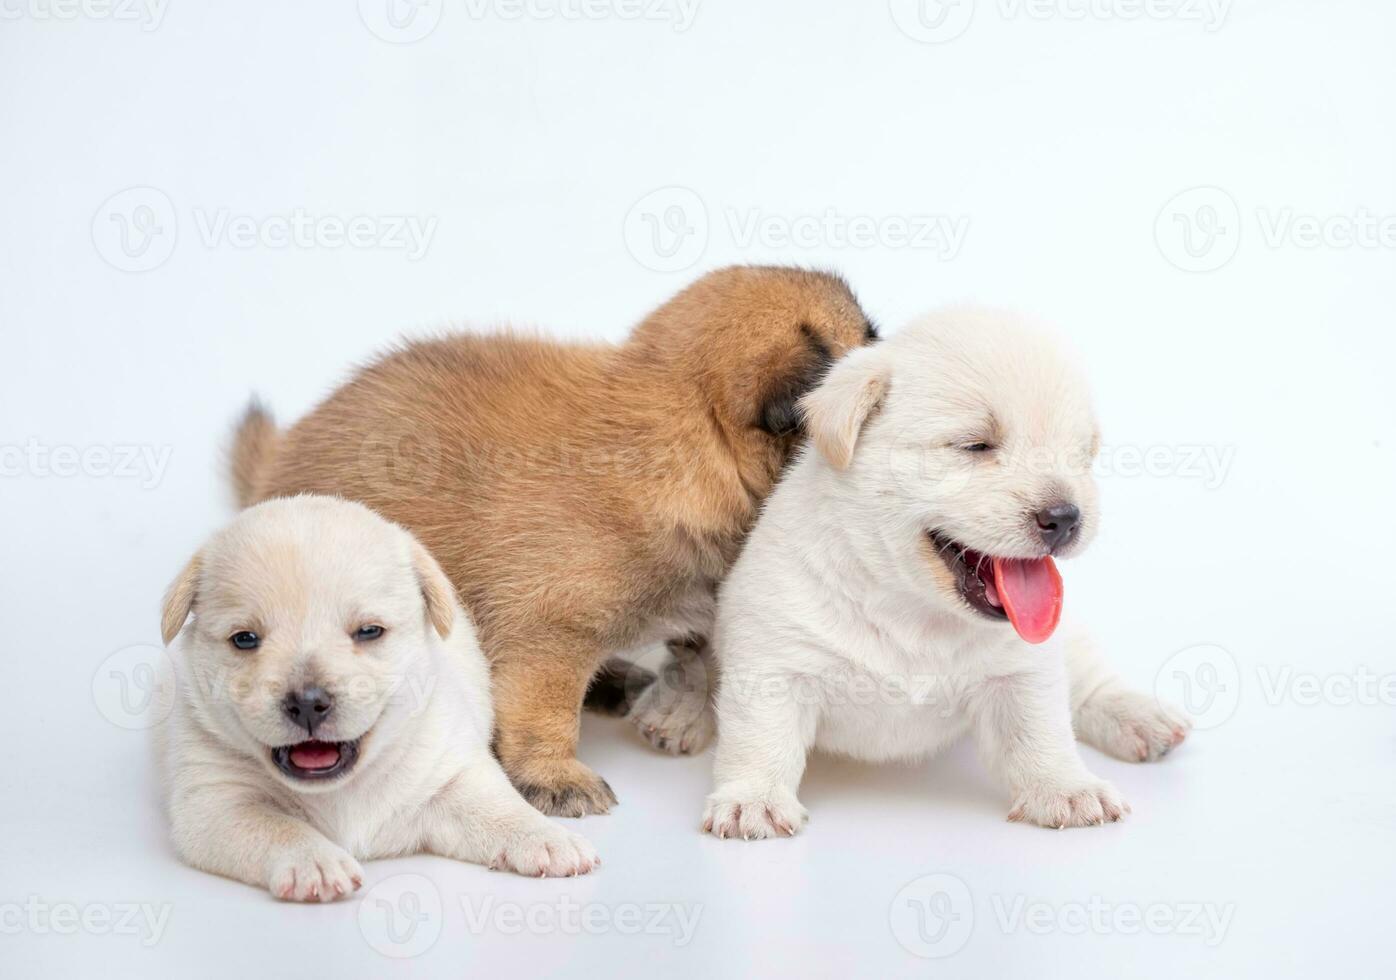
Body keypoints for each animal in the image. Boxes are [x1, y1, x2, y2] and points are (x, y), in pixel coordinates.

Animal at [158, 499, 600, 904]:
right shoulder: (214, 803)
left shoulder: (452, 772)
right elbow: (276, 827)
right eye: (244, 639)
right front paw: (315, 862)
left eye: (369, 631)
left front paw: (548, 838)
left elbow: (498, 809)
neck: (341, 792)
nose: (307, 703)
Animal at [235, 265, 876, 815]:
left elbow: (699, 654)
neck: (692, 435)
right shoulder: (546, 639)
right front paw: (555, 776)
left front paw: (680, 714)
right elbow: (545, 714)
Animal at [703, 311, 1183, 843]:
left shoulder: (1023, 670)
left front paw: (1066, 787)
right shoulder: (774, 662)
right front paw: (753, 800)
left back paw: (1139, 717)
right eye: (976, 445)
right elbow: (760, 736)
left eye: (1081, 454)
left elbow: (1041, 731)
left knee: (1089, 681)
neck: (913, 608)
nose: (1065, 518)